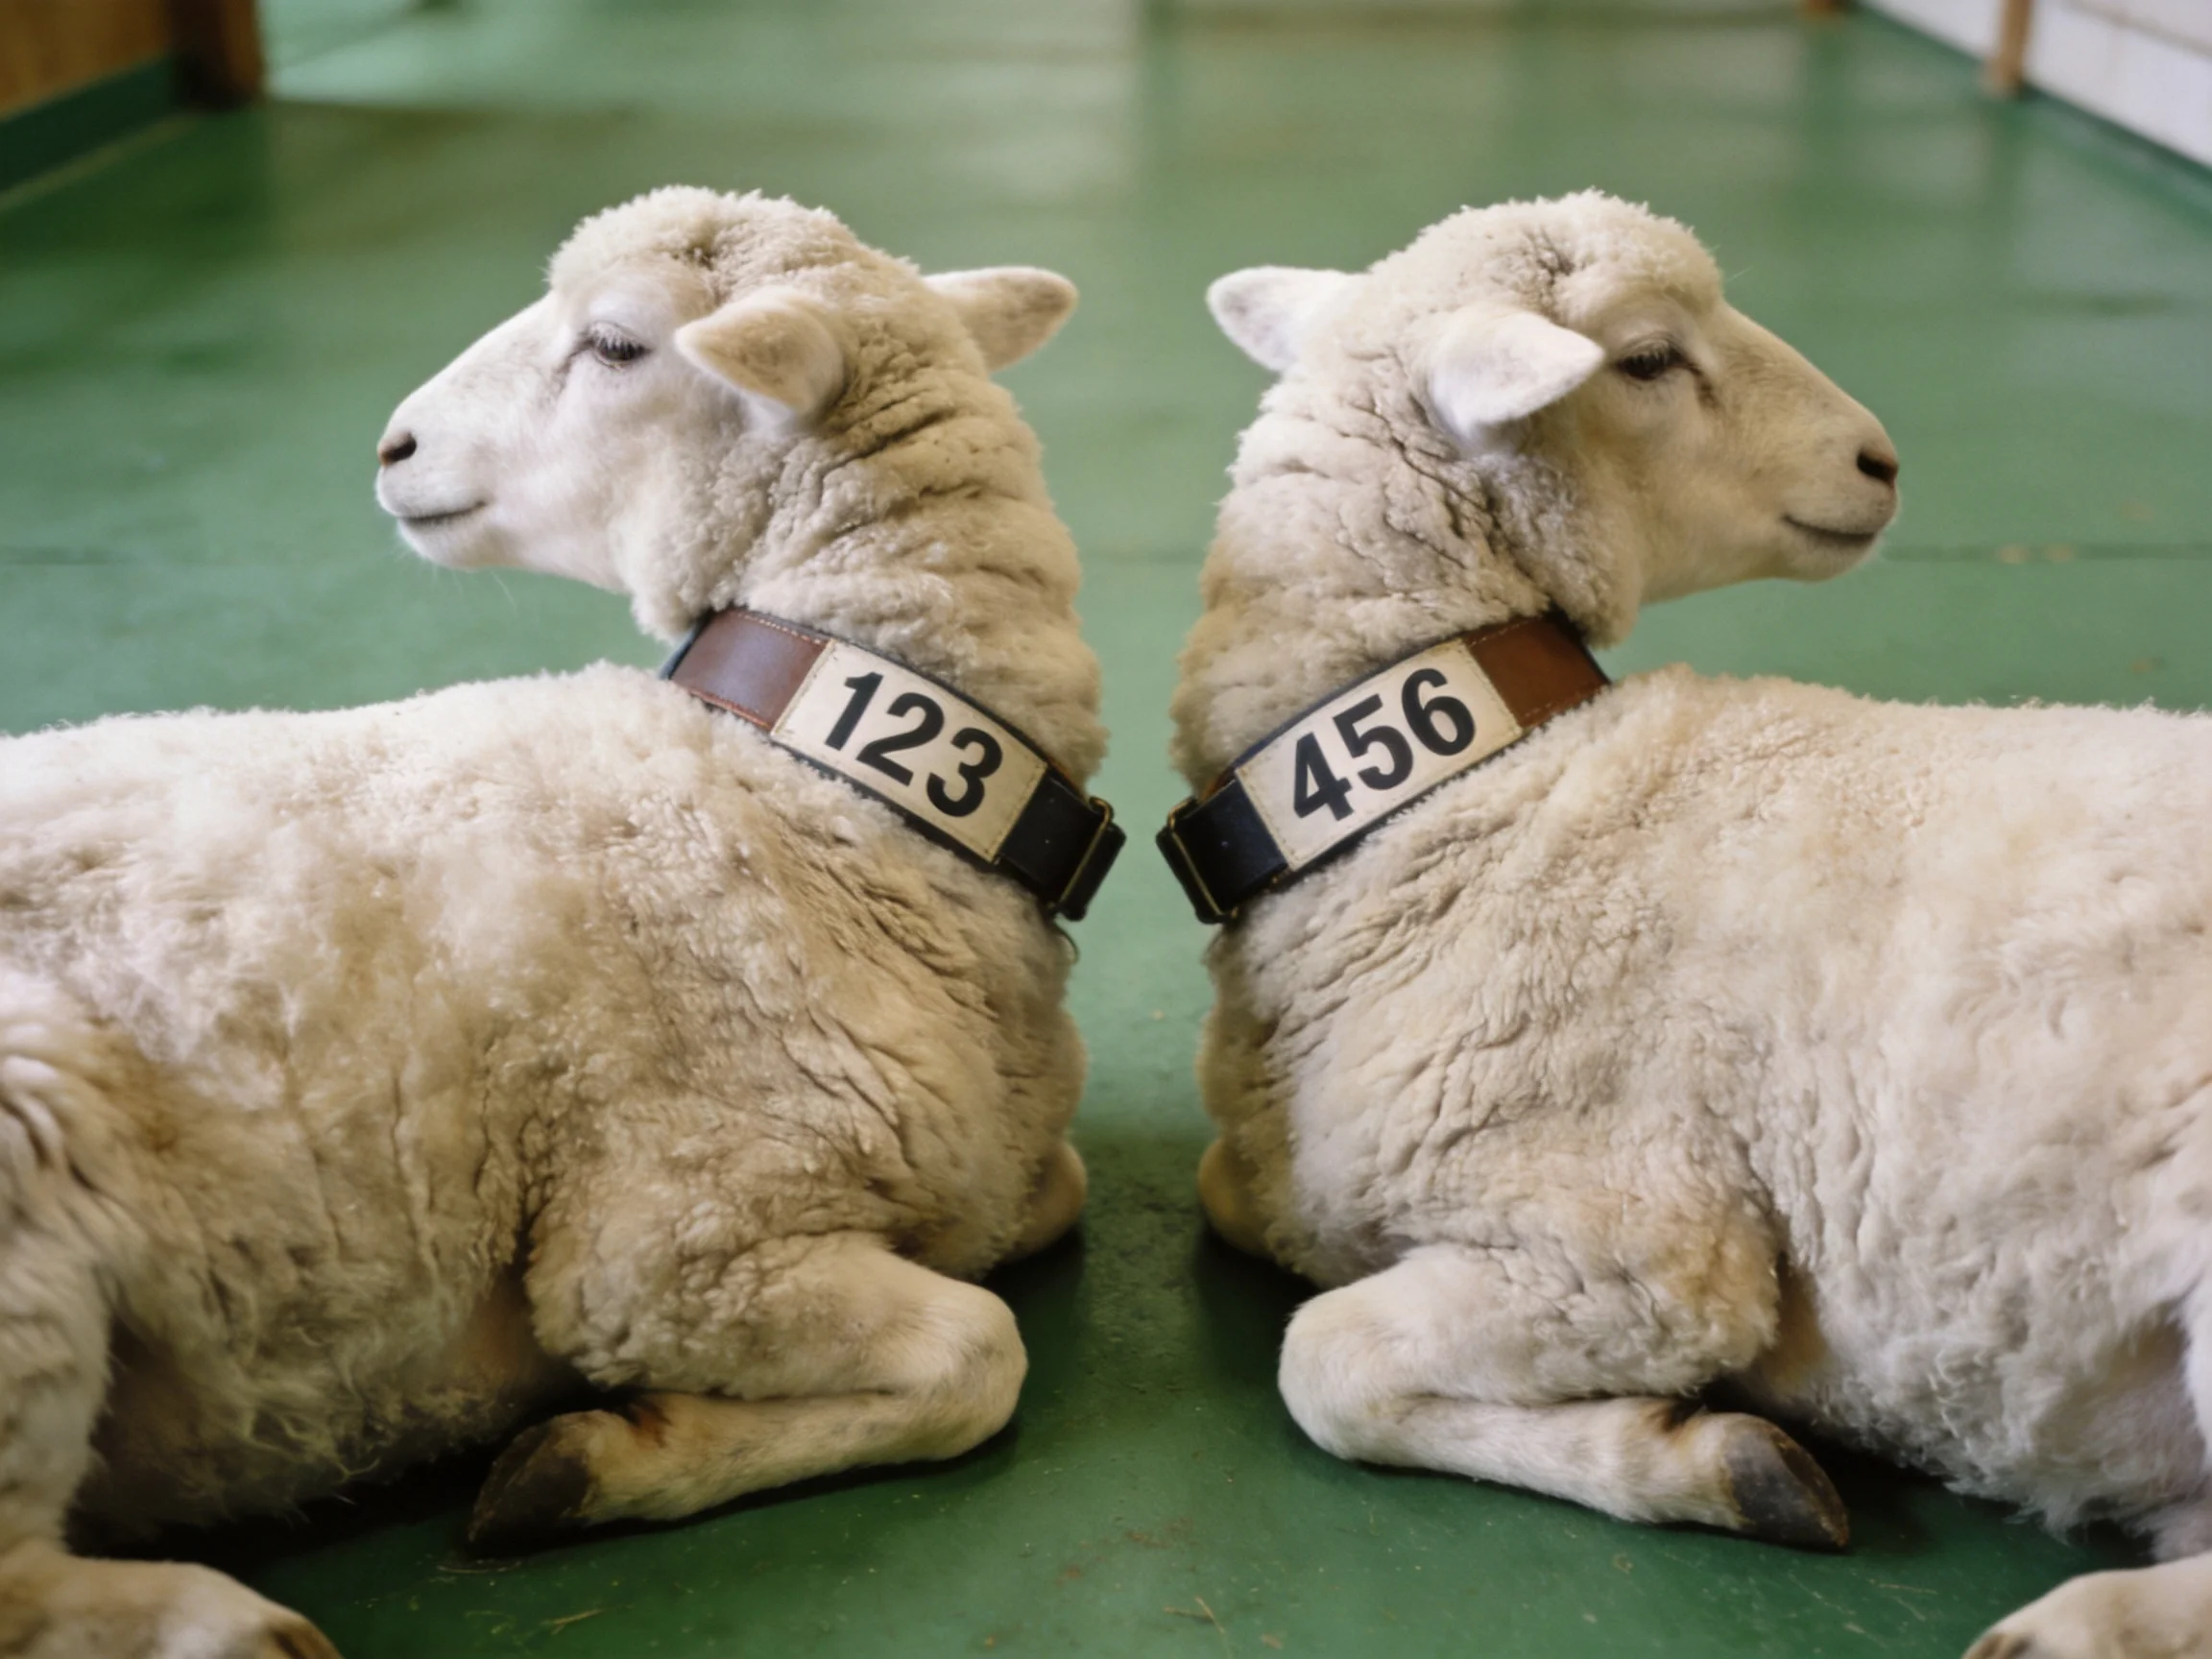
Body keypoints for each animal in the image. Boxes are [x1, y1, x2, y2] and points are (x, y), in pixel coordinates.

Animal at [0, 186, 1111, 1659]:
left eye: (619, 343)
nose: (393, 444)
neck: (819, 785)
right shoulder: (665, 1247)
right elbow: (980, 1353)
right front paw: (591, 1457)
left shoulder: (971, 1175)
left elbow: (1046, 1203)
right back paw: (228, 1624)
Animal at [1167, 190, 2212, 1659]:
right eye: (1650, 359)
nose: (1882, 461)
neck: (1467, 789)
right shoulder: (1298, 1177)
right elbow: (1240, 1208)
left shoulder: (1639, 1250)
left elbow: (1323, 1362)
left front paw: (1724, 1462)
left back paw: (2069, 1628)